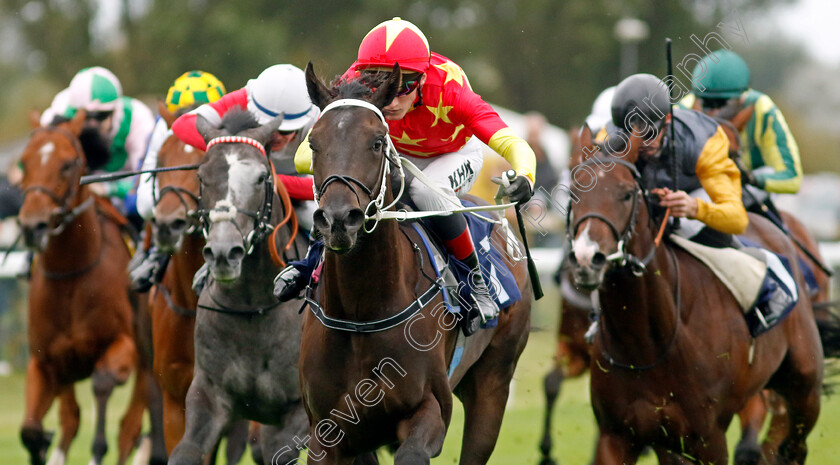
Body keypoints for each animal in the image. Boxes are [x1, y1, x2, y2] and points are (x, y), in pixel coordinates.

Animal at [17, 111, 139, 464]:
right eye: (23, 162)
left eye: (68, 164)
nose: (32, 226)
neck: (70, 275)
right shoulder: (46, 362)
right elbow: (32, 429)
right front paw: (43, 443)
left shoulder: (124, 345)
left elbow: (102, 383)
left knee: (131, 425)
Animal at [165, 109, 308, 464]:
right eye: (202, 177)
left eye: (260, 178)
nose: (222, 253)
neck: (253, 308)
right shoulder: (207, 396)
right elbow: (186, 451)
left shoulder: (297, 412)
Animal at [298, 62, 528, 464]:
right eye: (313, 143)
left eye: (377, 142)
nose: (339, 219)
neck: (361, 312)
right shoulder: (327, 434)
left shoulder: (431, 409)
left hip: (494, 380)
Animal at [572, 124, 820, 464]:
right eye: (573, 193)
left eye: (626, 193)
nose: (587, 259)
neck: (648, 344)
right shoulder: (618, 436)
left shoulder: (708, 439)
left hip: (804, 386)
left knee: (793, 443)